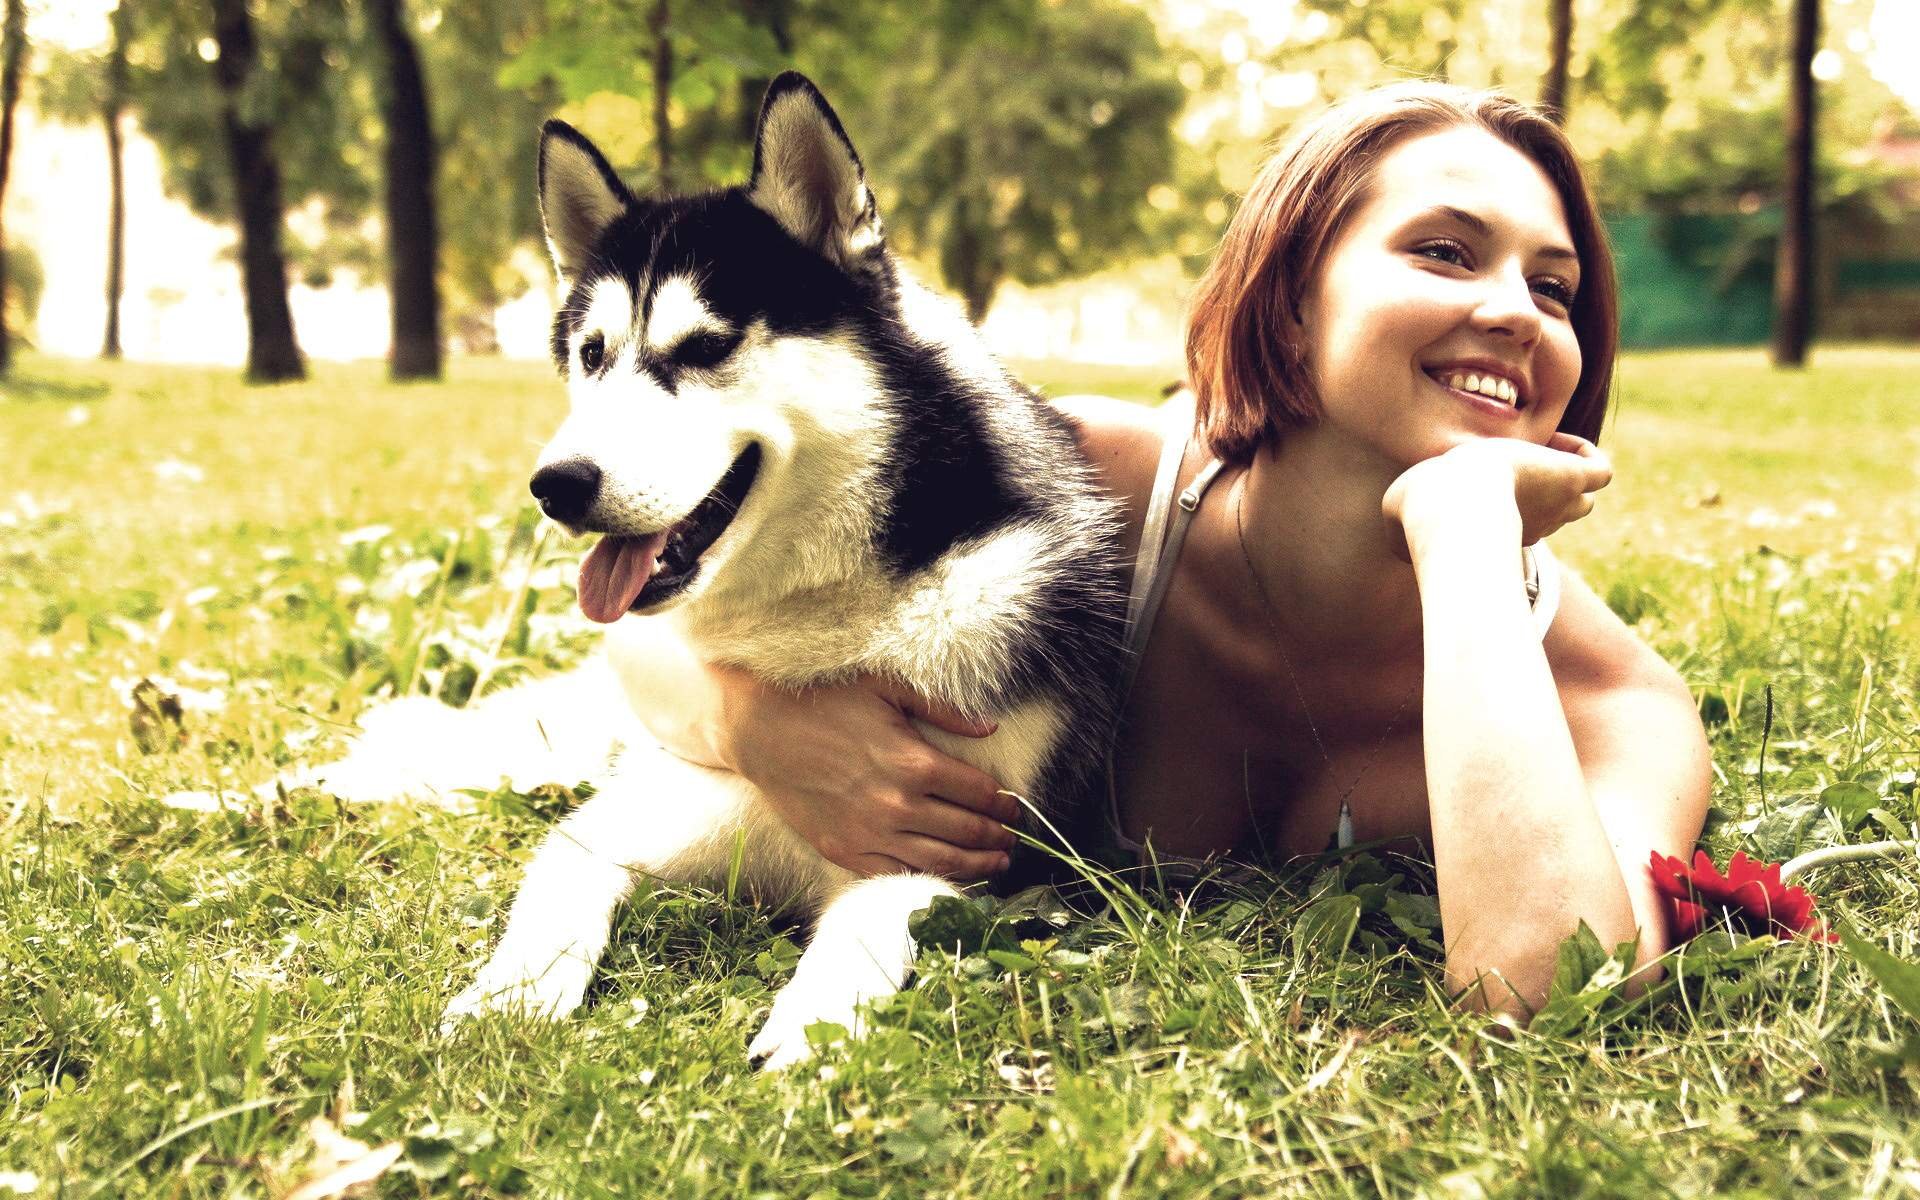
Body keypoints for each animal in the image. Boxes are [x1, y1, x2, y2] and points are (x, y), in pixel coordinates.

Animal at [324, 74, 1121, 1067]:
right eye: (591, 354)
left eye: (704, 347)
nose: (556, 484)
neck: (830, 618)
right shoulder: (625, 821)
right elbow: (555, 889)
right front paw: (512, 997)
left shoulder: (984, 858)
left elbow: (876, 919)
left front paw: (814, 1022)